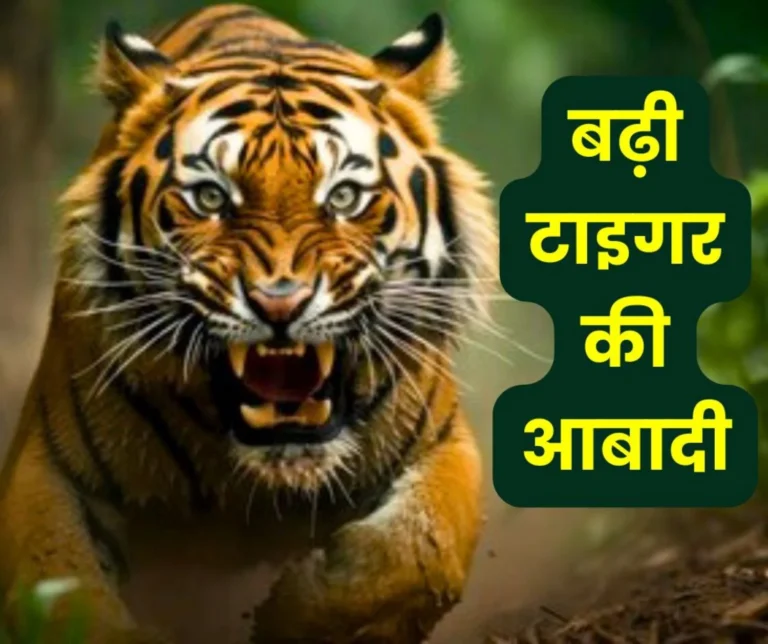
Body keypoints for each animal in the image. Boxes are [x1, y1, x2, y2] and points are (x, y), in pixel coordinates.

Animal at [0, 4, 497, 643]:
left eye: (344, 196)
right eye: (210, 198)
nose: (279, 304)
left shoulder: (442, 443)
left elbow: (418, 554)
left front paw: (294, 615)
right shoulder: (48, 466)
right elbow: (64, 599)